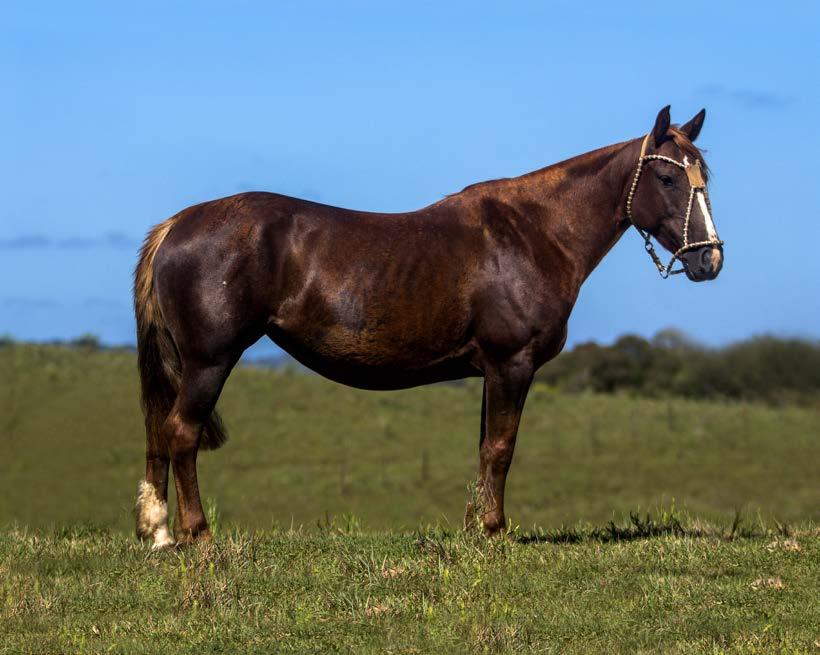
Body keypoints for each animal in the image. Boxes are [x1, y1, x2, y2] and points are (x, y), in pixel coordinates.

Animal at [135, 106, 724, 548]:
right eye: (667, 177)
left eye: (705, 178)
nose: (710, 259)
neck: (535, 233)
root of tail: (176, 226)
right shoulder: (512, 363)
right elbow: (501, 448)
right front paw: (495, 531)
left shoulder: (491, 370)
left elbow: (485, 447)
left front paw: (475, 528)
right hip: (210, 361)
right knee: (181, 432)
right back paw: (196, 534)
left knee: (162, 431)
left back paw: (159, 532)